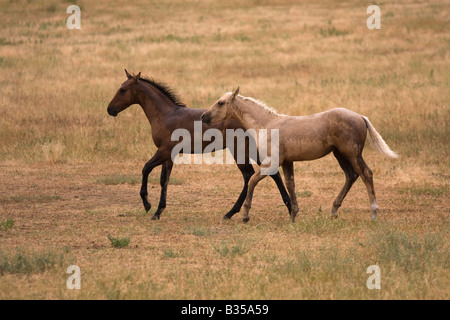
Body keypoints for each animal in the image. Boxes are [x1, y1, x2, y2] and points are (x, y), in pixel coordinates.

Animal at [107, 70, 294, 220]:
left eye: (123, 90)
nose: (110, 109)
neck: (165, 115)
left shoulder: (164, 151)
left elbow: (146, 168)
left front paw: (147, 204)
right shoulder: (169, 155)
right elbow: (164, 180)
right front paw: (158, 211)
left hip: (240, 150)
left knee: (249, 174)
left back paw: (232, 212)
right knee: (270, 173)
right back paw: (288, 206)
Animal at [202, 87, 400, 222]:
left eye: (220, 102)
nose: (204, 116)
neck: (267, 125)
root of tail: (360, 116)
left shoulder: (272, 163)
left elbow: (252, 181)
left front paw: (245, 215)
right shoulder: (287, 162)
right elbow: (291, 184)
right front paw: (293, 214)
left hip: (352, 153)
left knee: (366, 174)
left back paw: (373, 213)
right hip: (340, 155)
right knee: (351, 176)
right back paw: (334, 211)